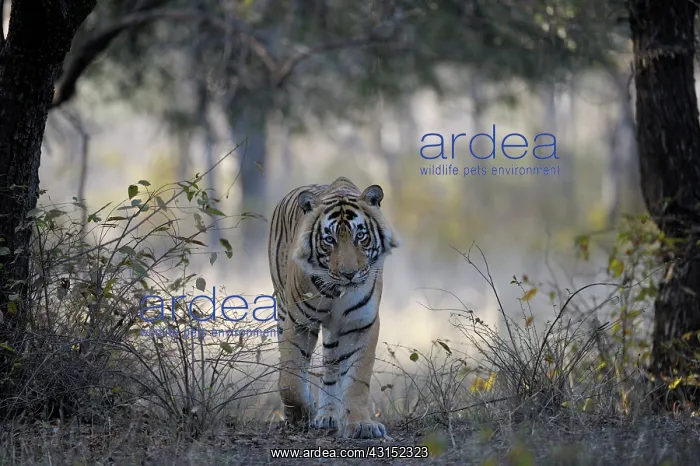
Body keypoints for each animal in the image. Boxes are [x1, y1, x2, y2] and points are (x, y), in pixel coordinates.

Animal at [267, 176, 399, 439]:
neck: (338, 291)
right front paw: (302, 413)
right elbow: (290, 377)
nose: (349, 274)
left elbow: (357, 379)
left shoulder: (360, 325)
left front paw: (361, 425)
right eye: (329, 239)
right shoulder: (298, 322)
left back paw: (328, 415)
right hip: (283, 308)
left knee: (331, 368)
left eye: (361, 236)